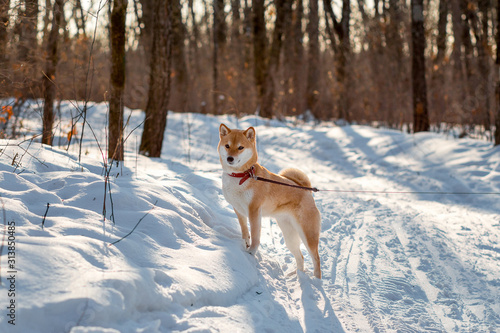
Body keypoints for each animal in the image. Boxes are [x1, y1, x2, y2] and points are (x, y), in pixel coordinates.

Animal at [218, 123, 320, 276]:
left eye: (240, 147)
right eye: (227, 146)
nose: (230, 158)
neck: (241, 175)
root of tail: (307, 191)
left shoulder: (254, 210)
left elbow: (255, 236)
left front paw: (251, 253)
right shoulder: (239, 209)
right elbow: (245, 231)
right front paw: (246, 244)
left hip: (308, 235)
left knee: (316, 259)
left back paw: (316, 280)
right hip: (289, 235)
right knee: (300, 257)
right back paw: (297, 276)